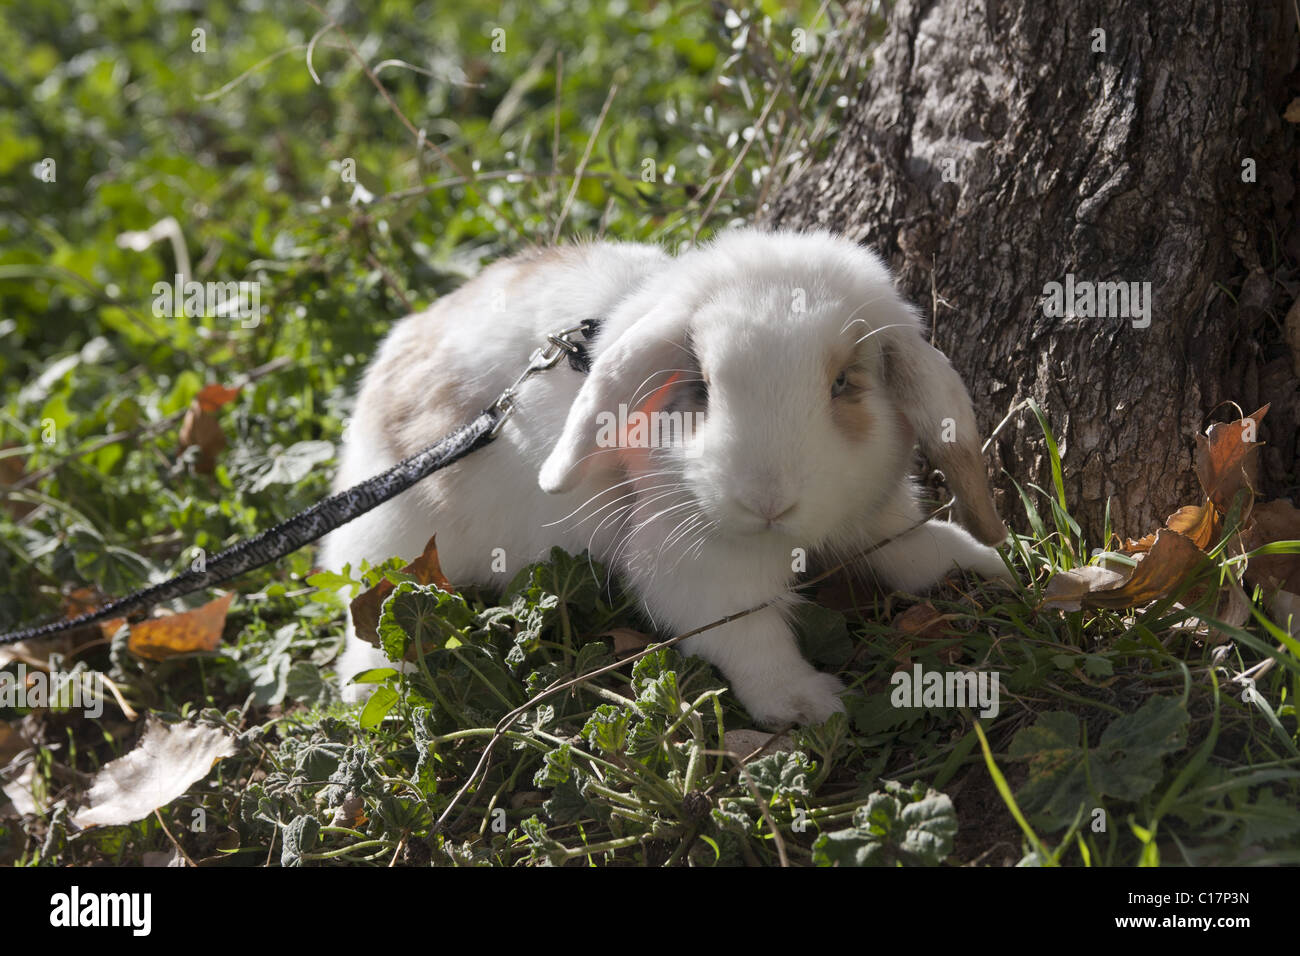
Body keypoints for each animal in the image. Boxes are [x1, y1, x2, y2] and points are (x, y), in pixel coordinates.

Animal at [319, 230, 1008, 723]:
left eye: (844, 383)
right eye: (701, 387)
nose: (766, 500)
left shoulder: (877, 517)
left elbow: (916, 550)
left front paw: (988, 565)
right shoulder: (698, 570)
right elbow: (749, 635)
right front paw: (808, 705)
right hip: (394, 547)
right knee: (371, 621)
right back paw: (372, 690)